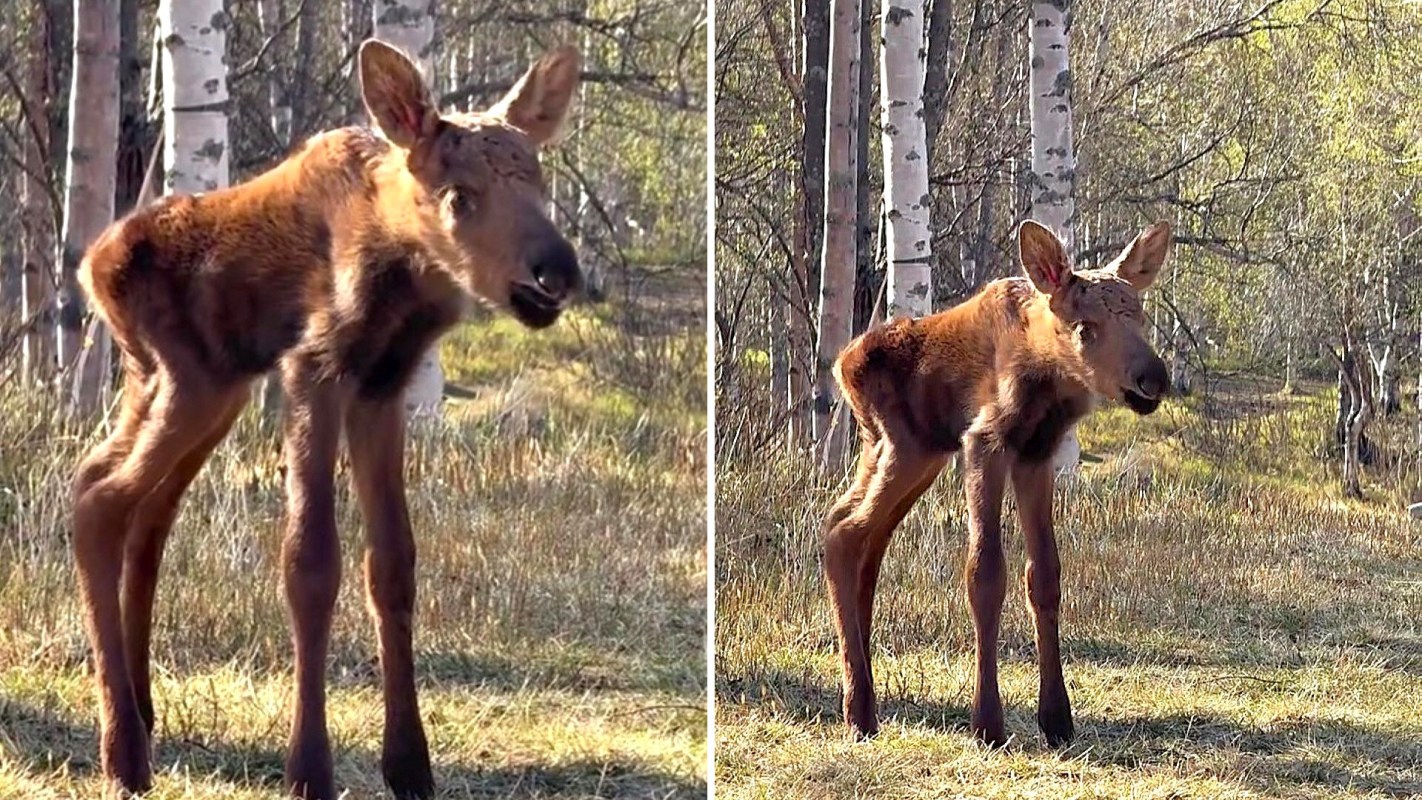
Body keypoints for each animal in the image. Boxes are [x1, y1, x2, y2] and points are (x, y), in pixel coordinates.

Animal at [70, 40, 582, 800]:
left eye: (540, 183)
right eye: (460, 196)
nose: (557, 271)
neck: (401, 277)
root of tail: (90, 267)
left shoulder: (381, 387)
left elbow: (393, 563)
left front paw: (410, 764)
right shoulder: (314, 368)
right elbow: (310, 563)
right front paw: (310, 768)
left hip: (197, 387)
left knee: (130, 502)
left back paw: (141, 708)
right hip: (191, 382)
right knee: (103, 501)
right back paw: (123, 752)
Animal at [823, 219, 1172, 748]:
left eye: (1142, 317)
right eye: (1085, 328)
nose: (1153, 378)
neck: (1048, 383)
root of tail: (842, 365)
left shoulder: (1036, 455)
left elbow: (1045, 574)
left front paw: (1057, 718)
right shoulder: (984, 441)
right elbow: (985, 573)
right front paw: (987, 721)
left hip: (908, 452)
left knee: (855, 531)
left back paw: (861, 695)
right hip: (906, 447)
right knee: (845, 534)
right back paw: (859, 710)